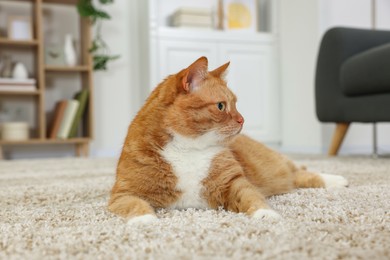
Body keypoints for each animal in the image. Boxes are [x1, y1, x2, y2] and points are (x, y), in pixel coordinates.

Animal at [108, 58, 348, 224]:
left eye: (235, 104)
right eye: (221, 106)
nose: (242, 119)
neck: (188, 149)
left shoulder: (234, 182)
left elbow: (252, 197)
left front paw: (265, 214)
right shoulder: (122, 194)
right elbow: (134, 204)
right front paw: (145, 220)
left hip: (276, 165)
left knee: (300, 172)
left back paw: (337, 179)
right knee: (296, 177)